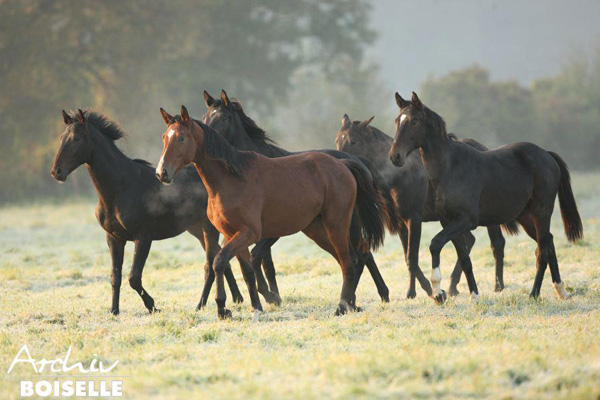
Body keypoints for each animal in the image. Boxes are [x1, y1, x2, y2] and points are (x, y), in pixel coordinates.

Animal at [49, 110, 241, 316]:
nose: (56, 171)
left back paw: (204, 305)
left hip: (209, 228)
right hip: (197, 230)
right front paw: (114, 311)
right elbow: (115, 276)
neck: (121, 188)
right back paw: (232, 299)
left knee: (210, 265)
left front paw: (153, 306)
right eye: (61, 138)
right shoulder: (114, 238)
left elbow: (134, 278)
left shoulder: (142, 238)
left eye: (76, 139)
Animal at [156, 105, 390, 318]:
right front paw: (256, 307)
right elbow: (247, 271)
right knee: (352, 259)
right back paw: (351, 304)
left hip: (336, 225)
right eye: (164, 137)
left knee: (350, 262)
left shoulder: (249, 233)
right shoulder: (232, 234)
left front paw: (222, 308)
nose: (162, 172)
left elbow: (219, 262)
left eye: (181, 138)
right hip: (317, 230)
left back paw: (342, 307)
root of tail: (343, 163)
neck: (231, 179)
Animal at [202, 90, 398, 304]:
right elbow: (262, 262)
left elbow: (256, 257)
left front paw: (271, 296)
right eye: (205, 117)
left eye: (223, 117)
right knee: (361, 254)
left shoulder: (270, 230)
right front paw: (272, 295)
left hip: (346, 221)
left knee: (360, 254)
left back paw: (367, 296)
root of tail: (356, 161)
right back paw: (368, 296)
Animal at [332, 114, 516, 296]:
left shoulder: (414, 218)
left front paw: (418, 291)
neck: (400, 176)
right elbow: (407, 257)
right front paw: (423, 289)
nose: (340, 161)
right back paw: (453, 285)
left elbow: (413, 257)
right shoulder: (402, 223)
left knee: (497, 243)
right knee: (470, 240)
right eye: (337, 139)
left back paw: (498, 285)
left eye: (354, 141)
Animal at [390, 91, 580, 304]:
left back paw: (534, 294)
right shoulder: (448, 222)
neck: (451, 167)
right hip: (526, 217)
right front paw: (473, 295)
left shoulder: (465, 220)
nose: (395, 156)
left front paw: (438, 292)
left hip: (542, 212)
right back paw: (561, 291)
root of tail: (547, 155)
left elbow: (435, 244)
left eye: (414, 121)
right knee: (548, 243)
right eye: (397, 120)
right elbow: (465, 260)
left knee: (543, 251)